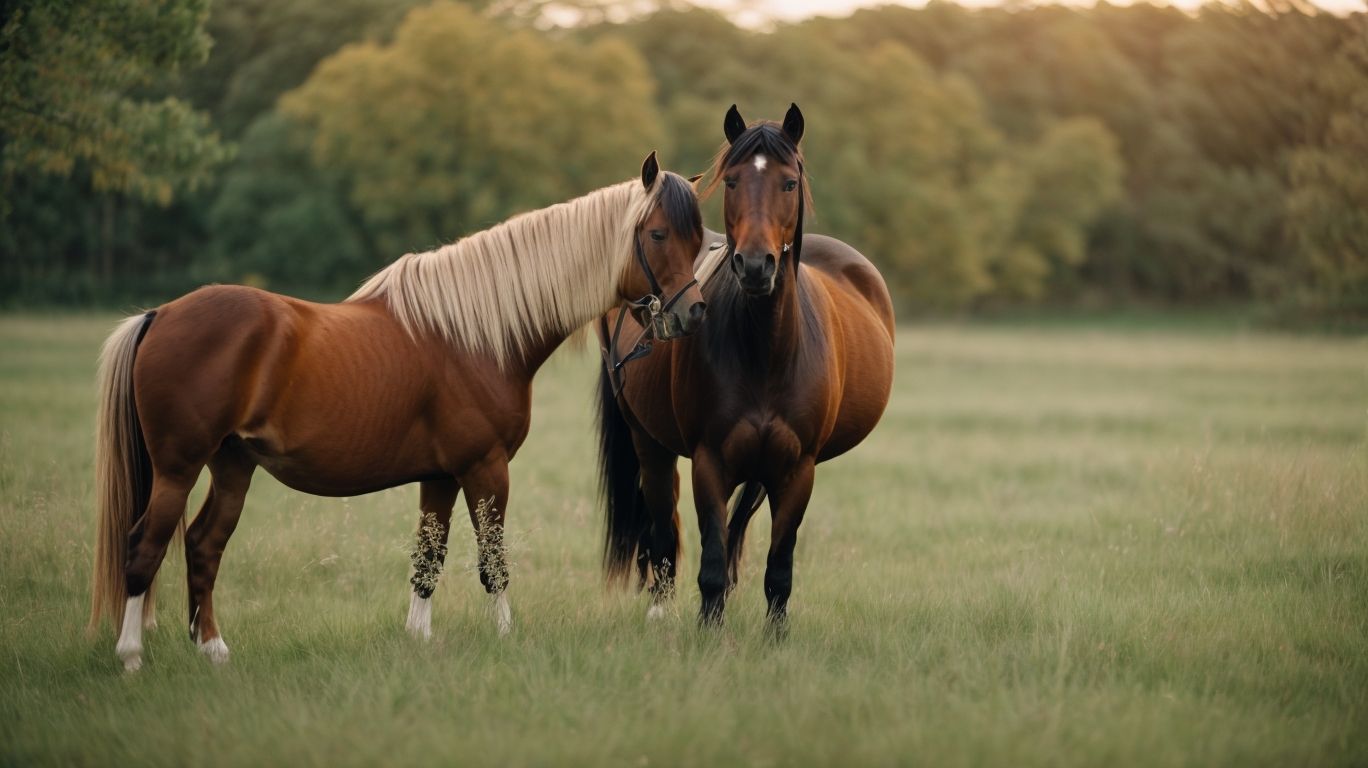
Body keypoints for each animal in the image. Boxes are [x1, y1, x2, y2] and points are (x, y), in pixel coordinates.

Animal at [90, 152, 707, 671]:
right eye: (657, 234)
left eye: (700, 238)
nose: (694, 313)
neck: (476, 333)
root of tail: (159, 316)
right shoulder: (485, 469)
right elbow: (493, 562)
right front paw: (505, 637)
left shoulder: (441, 476)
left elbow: (427, 560)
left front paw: (418, 638)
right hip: (177, 469)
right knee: (143, 548)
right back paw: (131, 657)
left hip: (232, 466)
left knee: (203, 545)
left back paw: (214, 649)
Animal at [596, 105, 895, 631]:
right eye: (732, 181)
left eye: (789, 183)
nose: (756, 266)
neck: (766, 350)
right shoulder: (709, 463)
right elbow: (711, 562)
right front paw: (709, 632)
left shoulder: (798, 470)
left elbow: (779, 568)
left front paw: (775, 636)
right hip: (649, 442)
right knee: (663, 525)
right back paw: (659, 610)